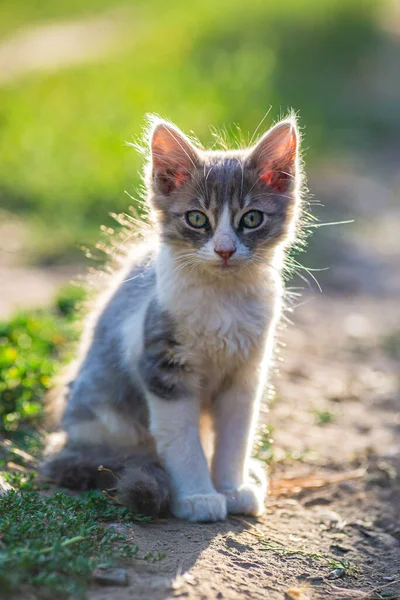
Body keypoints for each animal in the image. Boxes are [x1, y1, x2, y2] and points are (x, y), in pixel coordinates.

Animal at [42, 115, 302, 524]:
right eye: (197, 219)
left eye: (251, 219)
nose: (225, 250)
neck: (223, 301)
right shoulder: (164, 367)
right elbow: (182, 443)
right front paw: (198, 497)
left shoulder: (245, 376)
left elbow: (235, 440)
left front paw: (232, 488)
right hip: (106, 419)